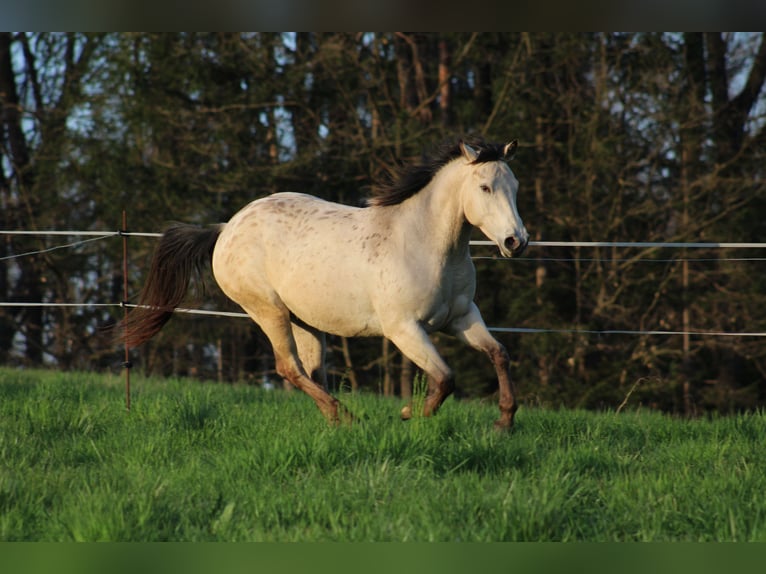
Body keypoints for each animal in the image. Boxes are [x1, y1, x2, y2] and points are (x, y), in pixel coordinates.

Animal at [127, 137, 536, 430]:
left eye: (515, 185)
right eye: (485, 187)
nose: (516, 241)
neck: (428, 246)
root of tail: (227, 227)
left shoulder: (462, 318)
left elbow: (499, 353)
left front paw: (504, 421)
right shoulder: (404, 329)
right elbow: (446, 378)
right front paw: (410, 415)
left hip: (304, 319)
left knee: (311, 372)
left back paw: (336, 418)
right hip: (268, 311)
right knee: (288, 368)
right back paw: (349, 418)